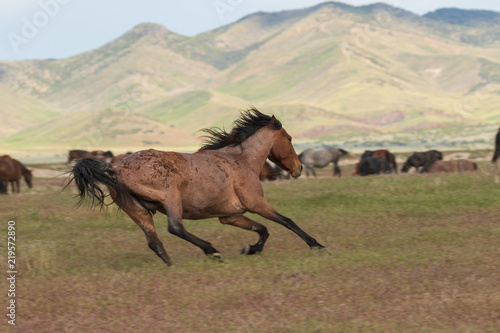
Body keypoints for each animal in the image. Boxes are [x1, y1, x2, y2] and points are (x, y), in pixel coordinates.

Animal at [66, 109, 324, 264]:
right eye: (289, 139)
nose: (299, 168)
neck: (241, 160)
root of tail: (115, 168)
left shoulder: (231, 216)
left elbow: (262, 230)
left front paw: (250, 249)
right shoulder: (256, 203)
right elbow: (286, 222)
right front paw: (318, 246)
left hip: (138, 211)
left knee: (154, 242)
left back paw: (171, 265)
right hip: (171, 198)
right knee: (175, 228)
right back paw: (212, 251)